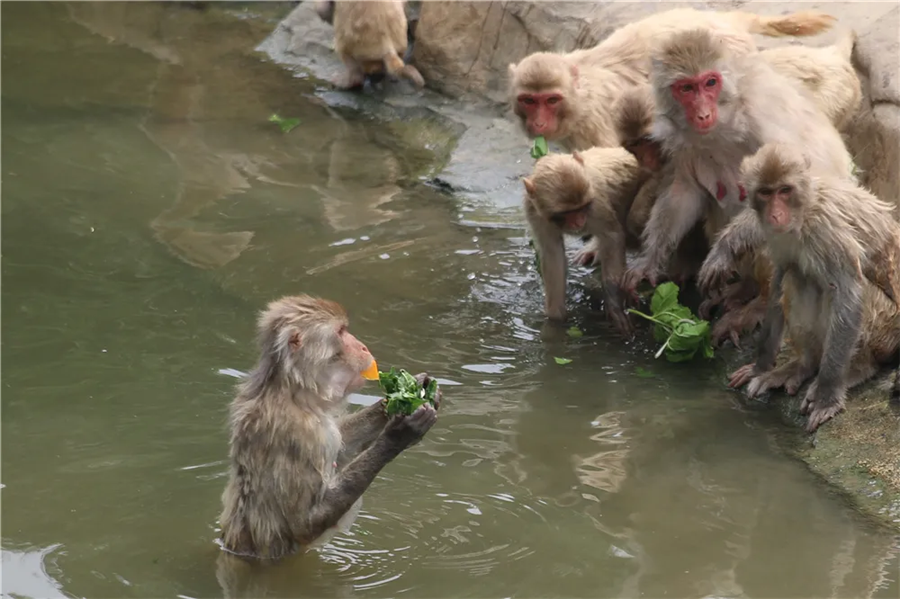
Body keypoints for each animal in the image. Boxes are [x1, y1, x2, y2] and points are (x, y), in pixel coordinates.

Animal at [220, 296, 442, 564]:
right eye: (340, 332)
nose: (364, 347)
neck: (294, 393)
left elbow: (341, 445)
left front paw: (409, 390)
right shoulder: (300, 434)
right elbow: (302, 525)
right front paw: (397, 435)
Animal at [506, 7, 836, 151]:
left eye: (551, 100)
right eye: (528, 100)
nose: (538, 123)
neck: (581, 96)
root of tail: (726, 18)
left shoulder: (594, 125)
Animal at [712, 145, 900, 434]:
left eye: (784, 190)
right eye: (766, 192)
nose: (776, 214)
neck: (803, 211)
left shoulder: (826, 228)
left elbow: (848, 293)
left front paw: (827, 396)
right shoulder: (775, 233)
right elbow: (779, 277)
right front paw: (761, 365)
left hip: (888, 330)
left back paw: (857, 368)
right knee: (798, 276)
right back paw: (803, 365)